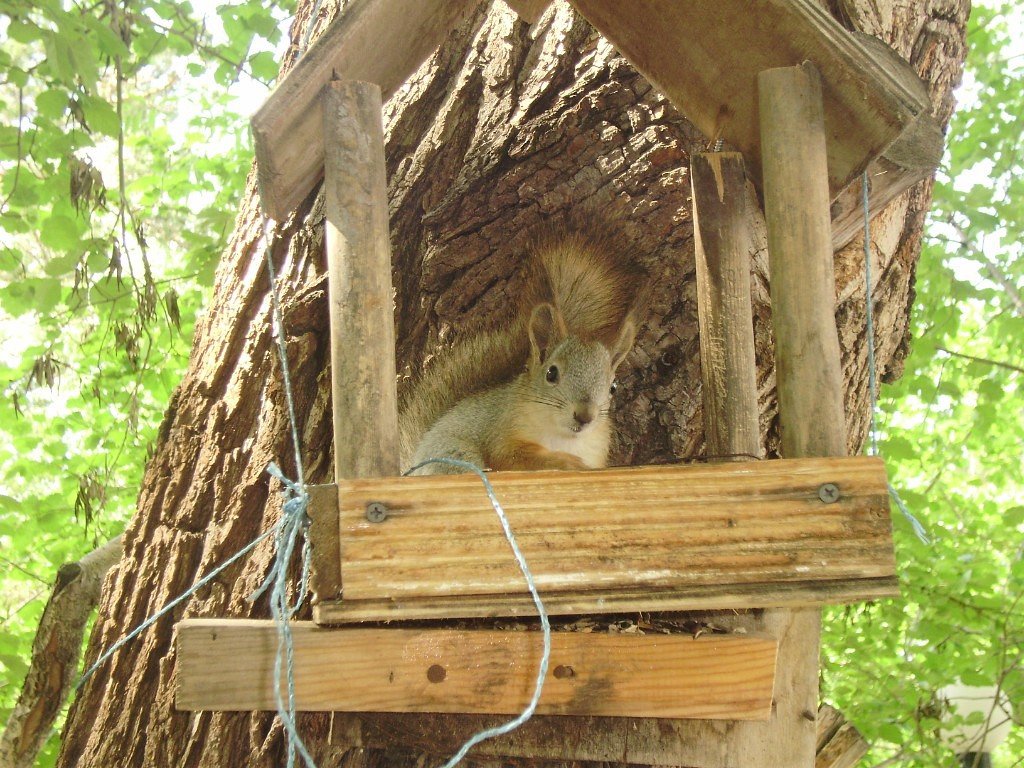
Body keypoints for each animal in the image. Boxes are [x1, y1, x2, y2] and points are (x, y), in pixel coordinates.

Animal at [399, 224, 647, 475]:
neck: (563, 438)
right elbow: (513, 457)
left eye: (613, 387)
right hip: (452, 454)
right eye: (551, 373)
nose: (584, 416)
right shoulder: (502, 430)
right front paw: (564, 461)